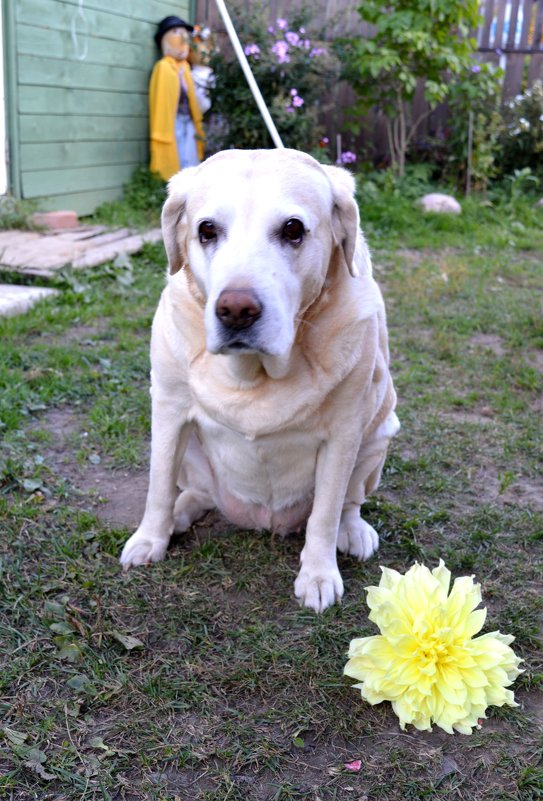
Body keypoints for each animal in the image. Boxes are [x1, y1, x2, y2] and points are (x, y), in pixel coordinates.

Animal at [120, 150, 400, 608]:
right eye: (207, 231)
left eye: (293, 229)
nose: (236, 310)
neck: (255, 373)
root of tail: (262, 520)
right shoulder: (169, 410)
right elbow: (158, 486)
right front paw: (149, 539)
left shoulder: (345, 432)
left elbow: (325, 513)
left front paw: (318, 574)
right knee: (194, 492)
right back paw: (180, 514)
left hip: (378, 436)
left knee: (348, 502)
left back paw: (353, 531)